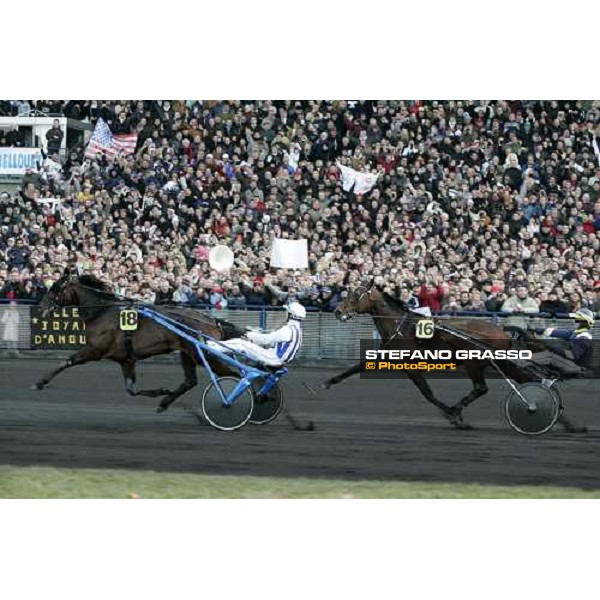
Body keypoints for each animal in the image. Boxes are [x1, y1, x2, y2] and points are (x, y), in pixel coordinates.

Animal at [34, 270, 244, 412]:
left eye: (55, 289)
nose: (40, 307)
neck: (102, 312)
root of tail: (213, 321)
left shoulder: (94, 350)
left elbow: (66, 362)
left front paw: (40, 383)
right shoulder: (126, 360)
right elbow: (131, 390)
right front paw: (161, 391)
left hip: (205, 355)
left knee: (236, 375)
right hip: (188, 354)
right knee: (190, 381)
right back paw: (164, 403)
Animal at [324, 282, 580, 432]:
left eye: (356, 295)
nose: (337, 311)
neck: (401, 325)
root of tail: (500, 329)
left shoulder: (408, 363)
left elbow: (427, 393)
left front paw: (451, 415)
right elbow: (358, 367)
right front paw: (329, 381)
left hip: (475, 362)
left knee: (482, 388)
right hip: (499, 362)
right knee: (526, 380)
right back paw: (566, 421)